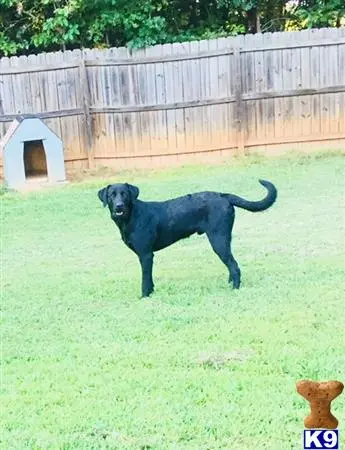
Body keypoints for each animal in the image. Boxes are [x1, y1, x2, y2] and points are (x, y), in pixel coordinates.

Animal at [98, 181, 276, 298]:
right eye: (111, 195)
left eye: (125, 194)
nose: (119, 206)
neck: (131, 217)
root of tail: (223, 196)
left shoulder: (146, 255)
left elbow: (145, 280)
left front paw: (145, 296)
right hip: (225, 239)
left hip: (218, 240)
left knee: (234, 266)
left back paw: (235, 289)